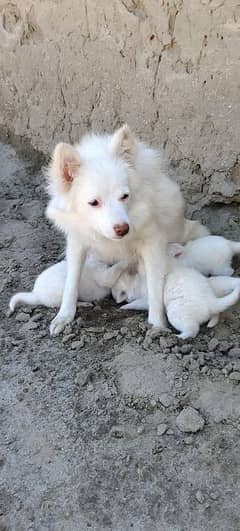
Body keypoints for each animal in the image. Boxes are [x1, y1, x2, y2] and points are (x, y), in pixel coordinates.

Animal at [46, 123, 207, 336]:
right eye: (94, 202)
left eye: (124, 196)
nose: (123, 229)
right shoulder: (77, 242)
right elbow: (71, 282)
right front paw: (64, 316)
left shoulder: (153, 244)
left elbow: (155, 288)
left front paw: (156, 324)